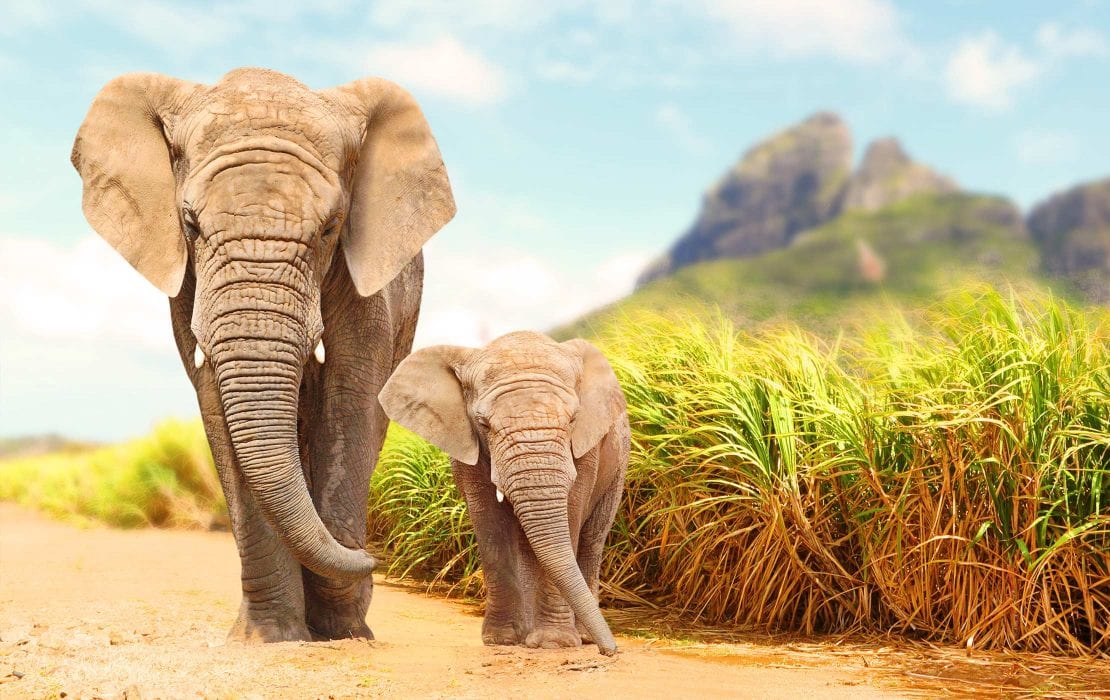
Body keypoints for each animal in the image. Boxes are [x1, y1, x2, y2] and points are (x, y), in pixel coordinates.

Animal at [70, 68, 455, 643]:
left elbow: (352, 393)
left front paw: (343, 628)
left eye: (331, 227)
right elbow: (215, 400)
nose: (375, 559)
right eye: (189, 223)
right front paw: (270, 638)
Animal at [381, 330, 630, 656]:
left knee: (591, 539)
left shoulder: (586, 449)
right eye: (484, 424)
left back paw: (582, 636)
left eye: (573, 420)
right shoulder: (467, 446)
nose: (611, 651)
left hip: (618, 464)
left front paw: (554, 643)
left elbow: (571, 514)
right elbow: (491, 524)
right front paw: (501, 640)